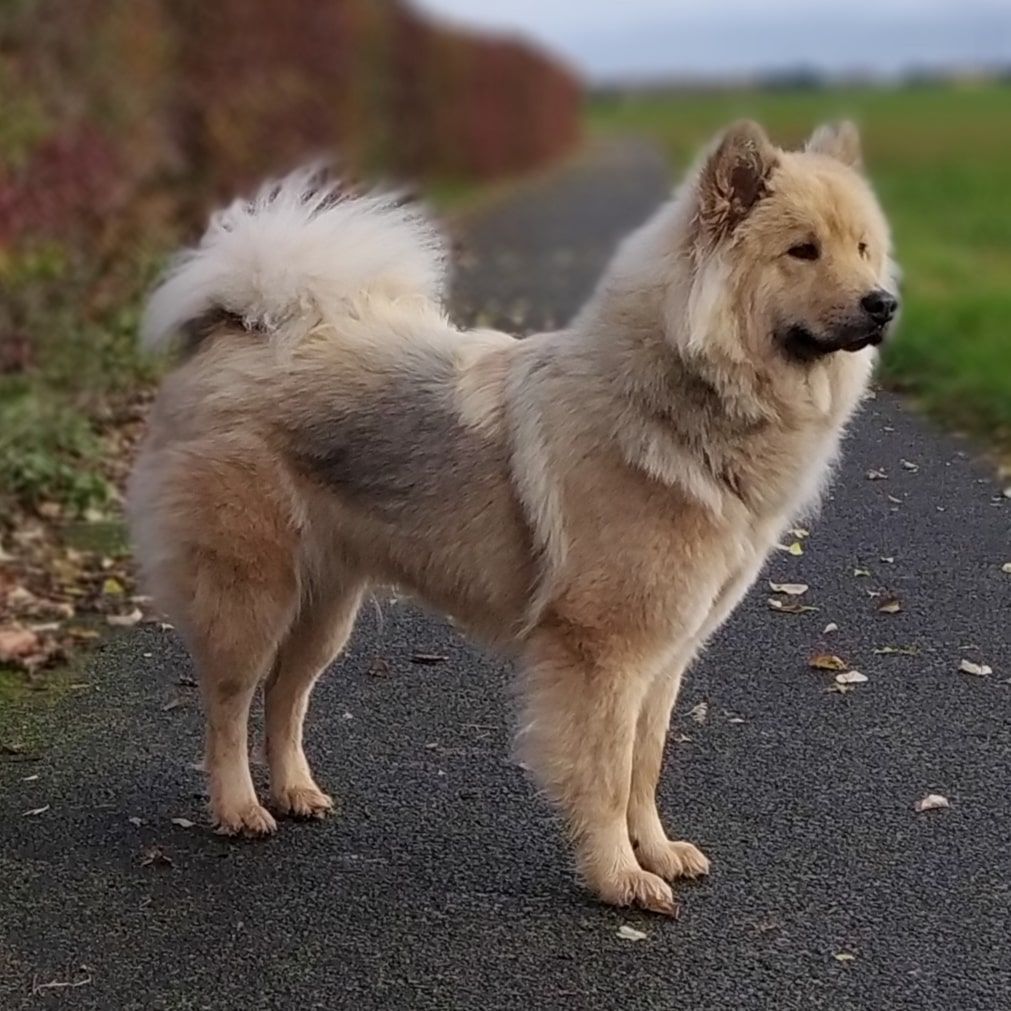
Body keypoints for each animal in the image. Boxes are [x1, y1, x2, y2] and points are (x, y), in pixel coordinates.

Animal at [130, 122, 897, 913]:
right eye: (802, 250)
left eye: (863, 247)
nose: (884, 304)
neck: (675, 402)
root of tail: (237, 328)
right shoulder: (603, 655)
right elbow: (606, 776)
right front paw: (618, 875)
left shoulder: (663, 661)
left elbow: (643, 768)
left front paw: (654, 852)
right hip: (251, 595)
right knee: (228, 704)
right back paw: (238, 807)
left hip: (326, 609)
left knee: (287, 695)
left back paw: (294, 791)